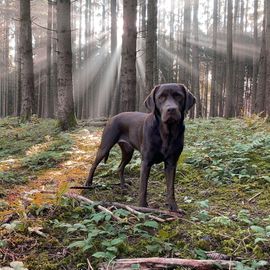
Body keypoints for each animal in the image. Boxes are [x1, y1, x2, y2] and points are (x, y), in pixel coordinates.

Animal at [85, 83, 195, 212]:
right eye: (161, 97)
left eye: (178, 96)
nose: (171, 109)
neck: (166, 133)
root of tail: (112, 117)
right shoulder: (146, 162)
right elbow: (143, 187)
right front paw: (142, 207)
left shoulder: (171, 163)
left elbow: (170, 188)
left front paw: (173, 207)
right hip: (105, 146)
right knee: (94, 165)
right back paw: (88, 183)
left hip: (128, 152)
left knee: (120, 167)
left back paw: (123, 186)